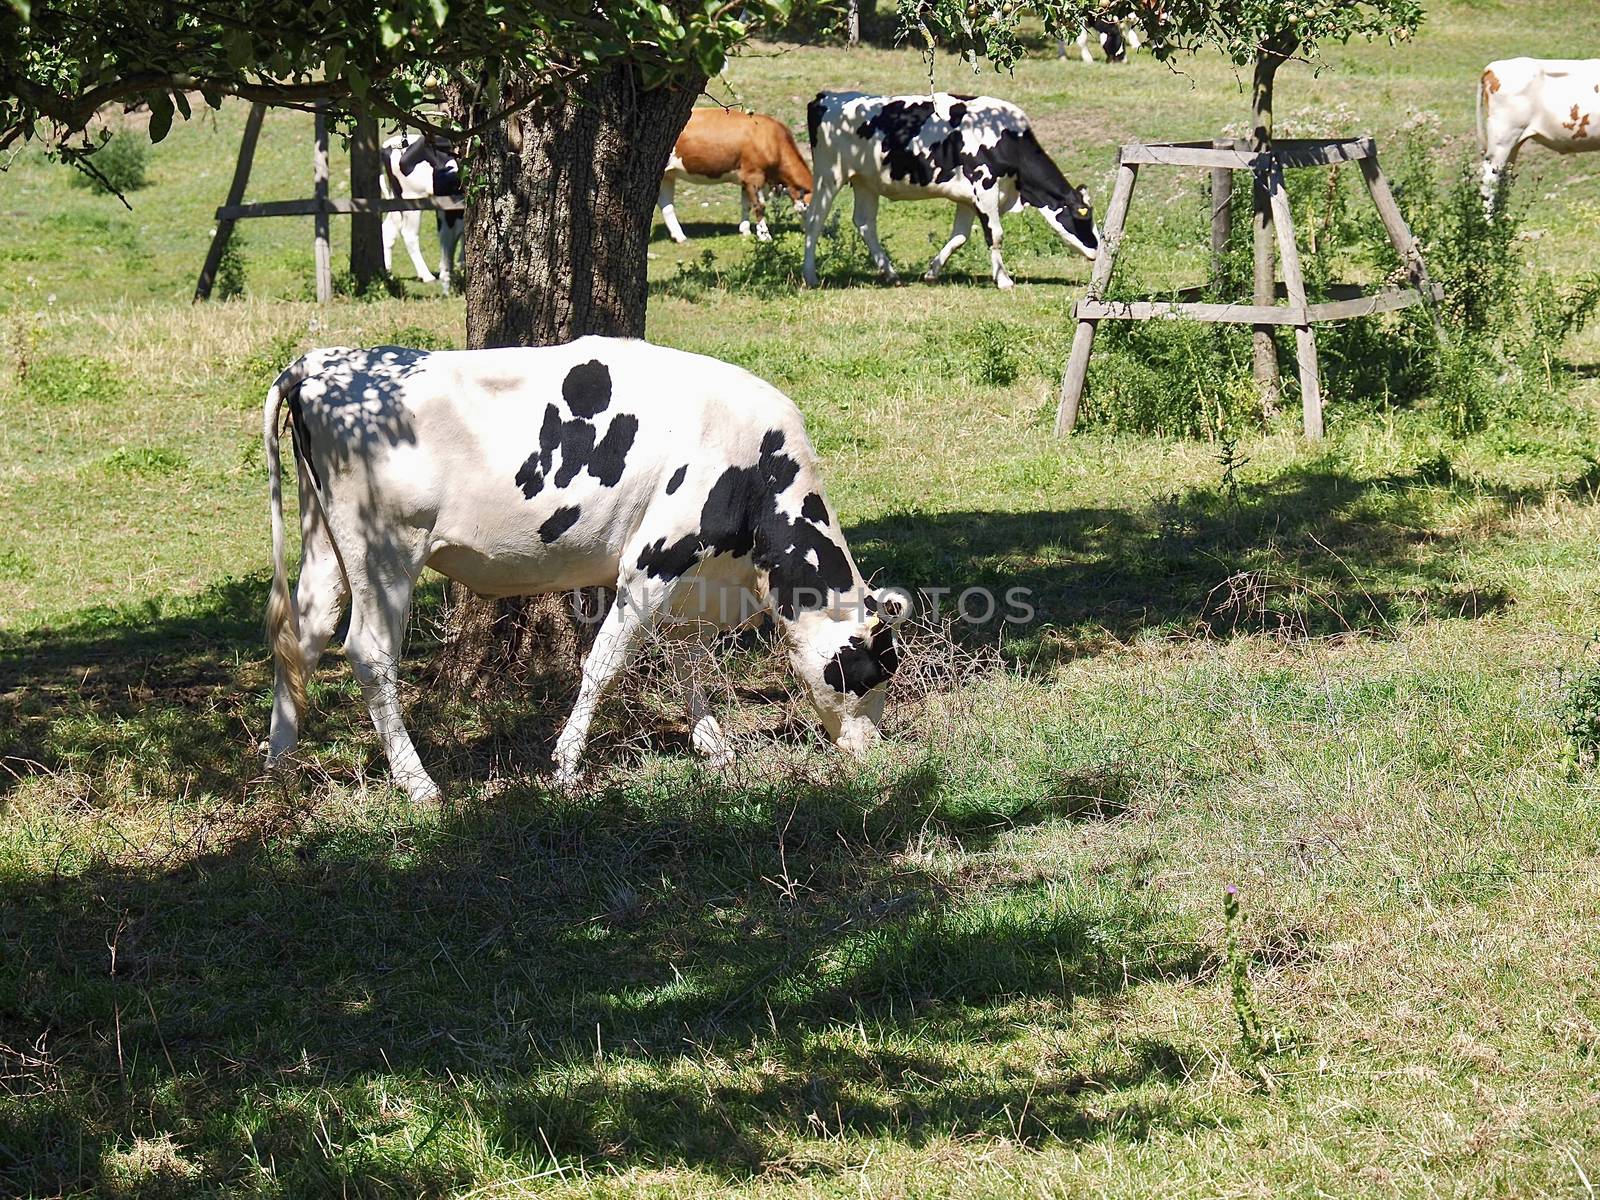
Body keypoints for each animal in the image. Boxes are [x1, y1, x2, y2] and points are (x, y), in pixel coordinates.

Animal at [268, 339, 908, 809]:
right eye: (872, 671)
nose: (876, 754)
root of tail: (320, 362)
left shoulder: (691, 576)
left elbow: (689, 659)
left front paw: (712, 744)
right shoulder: (652, 561)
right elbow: (603, 665)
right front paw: (567, 766)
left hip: (324, 544)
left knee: (304, 636)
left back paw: (280, 770)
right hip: (385, 552)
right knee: (368, 652)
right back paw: (417, 782)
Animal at [379, 133, 464, 294]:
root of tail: (388, 144)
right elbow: (451, 237)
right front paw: (447, 280)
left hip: (398, 198)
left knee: (388, 230)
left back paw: (388, 274)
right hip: (412, 198)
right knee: (409, 234)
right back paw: (427, 276)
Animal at [659, 109, 812, 244]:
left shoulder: (746, 180)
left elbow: (746, 205)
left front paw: (745, 231)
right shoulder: (754, 176)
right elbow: (759, 206)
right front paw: (765, 236)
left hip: (667, 175)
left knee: (666, 206)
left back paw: (680, 237)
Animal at [800, 90, 1100, 292]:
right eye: (1083, 217)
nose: (1098, 252)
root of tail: (828, 97)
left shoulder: (968, 199)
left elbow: (959, 237)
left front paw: (932, 272)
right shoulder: (985, 188)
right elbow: (995, 235)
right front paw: (1004, 280)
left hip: (864, 181)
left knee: (864, 223)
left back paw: (891, 274)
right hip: (829, 174)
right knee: (815, 220)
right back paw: (810, 275)